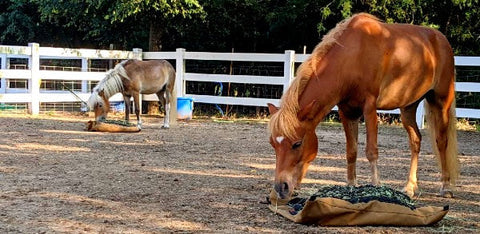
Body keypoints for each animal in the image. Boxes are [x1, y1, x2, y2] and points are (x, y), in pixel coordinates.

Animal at [268, 13, 460, 199]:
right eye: (273, 144)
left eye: (297, 143)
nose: (281, 187)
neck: (352, 57)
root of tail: (440, 39)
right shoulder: (346, 111)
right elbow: (351, 151)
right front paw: (351, 186)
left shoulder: (369, 107)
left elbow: (371, 150)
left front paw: (376, 186)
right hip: (408, 107)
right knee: (415, 141)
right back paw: (410, 187)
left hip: (441, 101)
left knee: (441, 141)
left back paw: (446, 186)